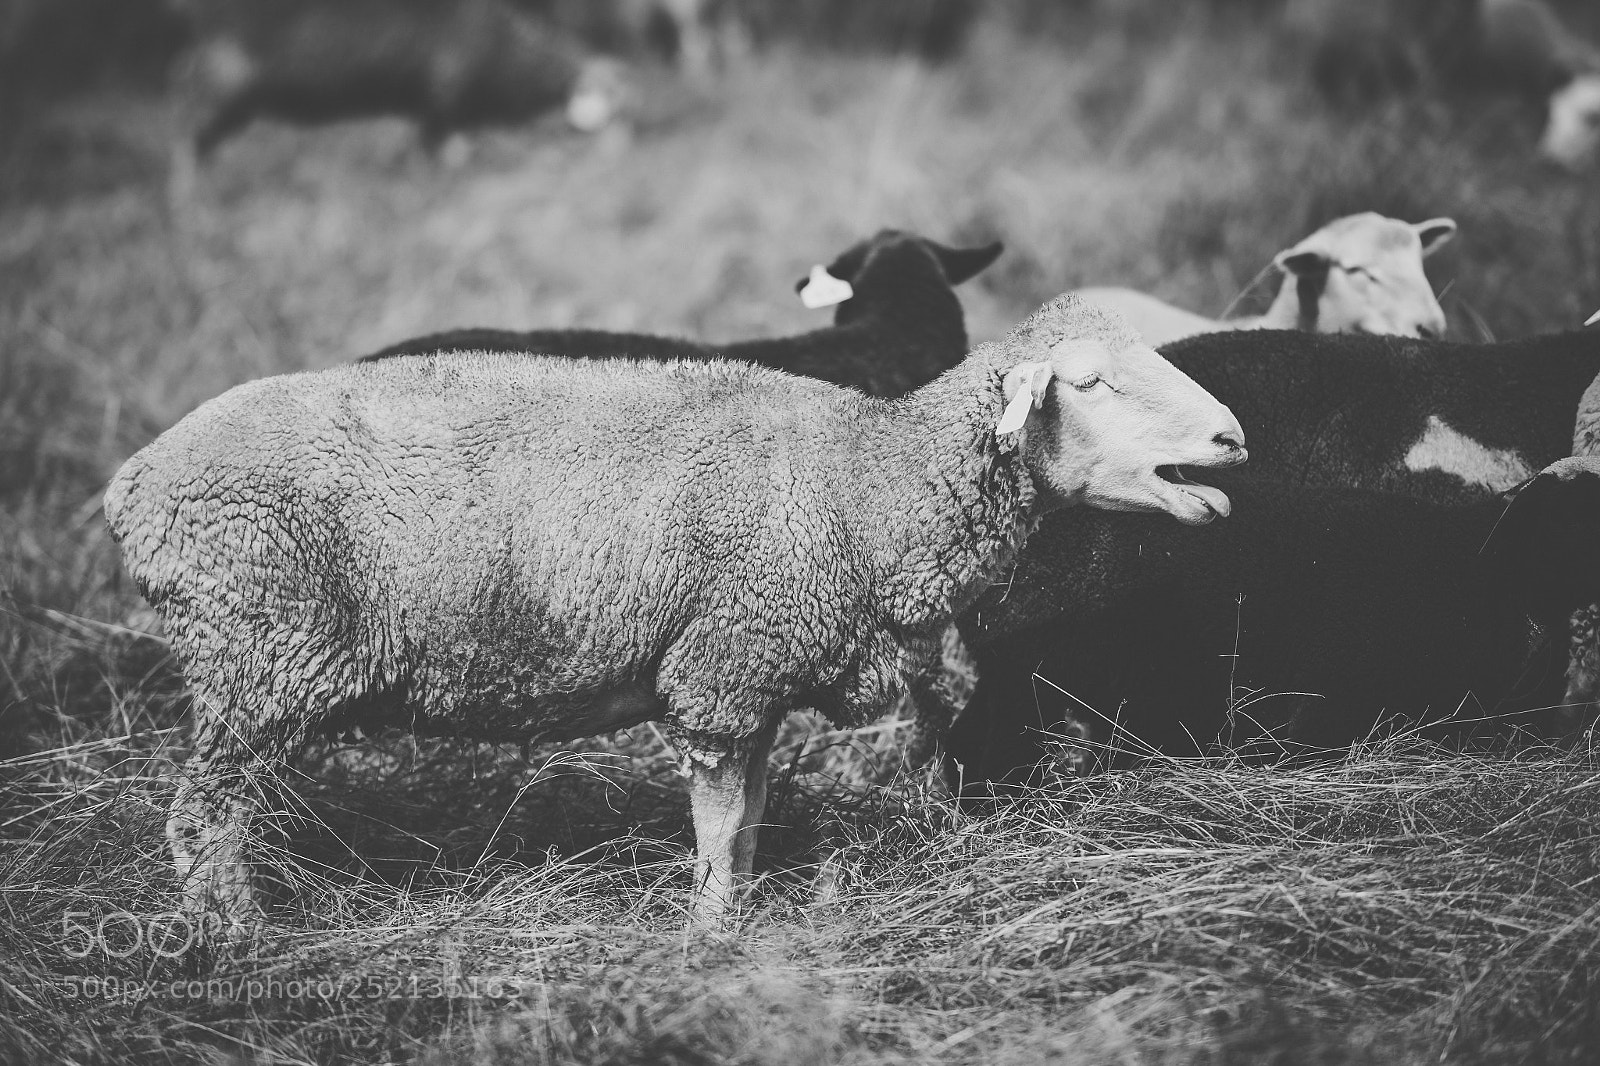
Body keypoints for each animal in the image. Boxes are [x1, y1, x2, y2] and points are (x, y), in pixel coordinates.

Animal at [103, 293, 1247, 936]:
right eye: (1089, 383)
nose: (1232, 439)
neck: (868, 484)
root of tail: (136, 483)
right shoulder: (723, 666)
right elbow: (719, 823)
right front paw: (707, 938)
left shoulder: (761, 674)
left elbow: (748, 821)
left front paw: (730, 915)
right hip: (257, 652)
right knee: (200, 820)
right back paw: (240, 939)